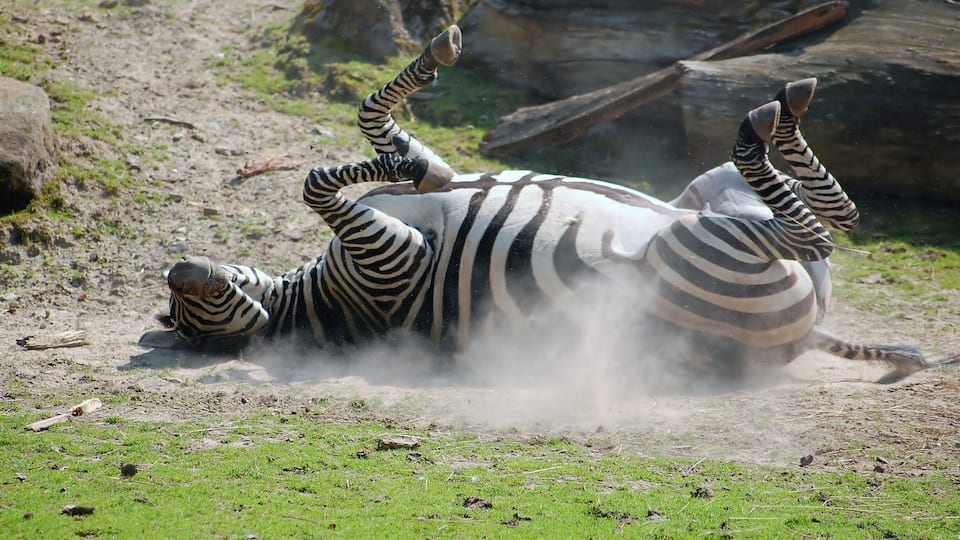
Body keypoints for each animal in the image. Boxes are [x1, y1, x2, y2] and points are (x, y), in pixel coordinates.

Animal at [142, 24, 948, 384]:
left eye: (182, 305)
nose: (180, 268)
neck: (316, 305)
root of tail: (801, 338)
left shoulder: (387, 223)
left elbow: (376, 127)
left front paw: (422, 134)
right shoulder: (390, 257)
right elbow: (318, 178)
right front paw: (424, 164)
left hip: (706, 200)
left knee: (824, 222)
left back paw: (786, 106)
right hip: (698, 249)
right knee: (821, 231)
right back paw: (768, 118)